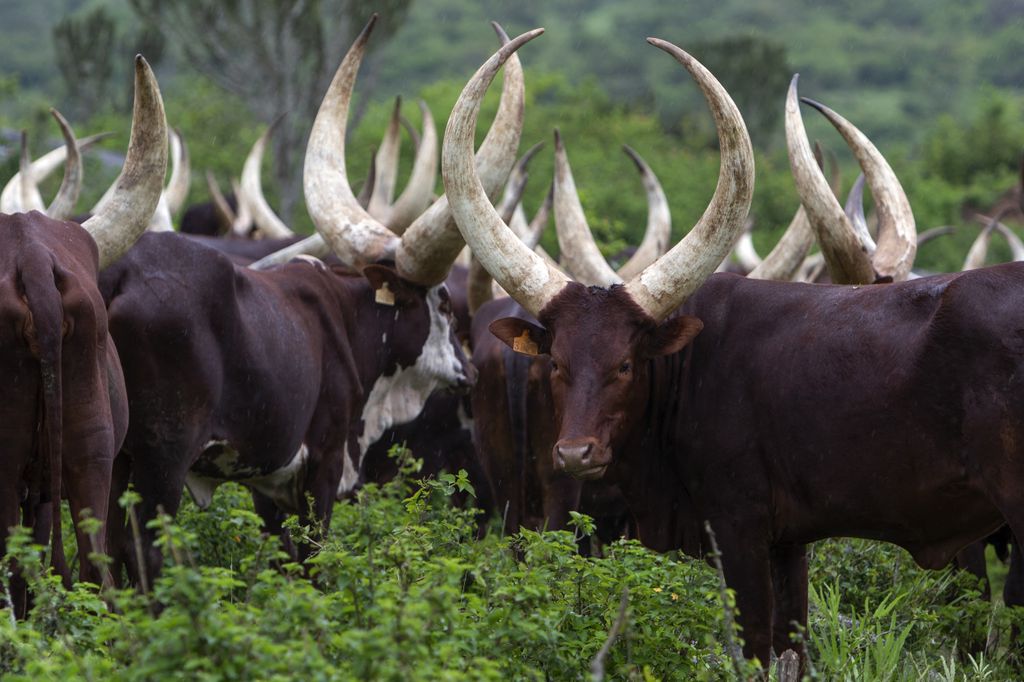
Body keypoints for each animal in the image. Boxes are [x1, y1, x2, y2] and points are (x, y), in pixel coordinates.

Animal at [445, 32, 1024, 668]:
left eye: (626, 363)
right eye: (555, 363)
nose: (575, 453)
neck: (691, 365)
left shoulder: (738, 529)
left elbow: (754, 647)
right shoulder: (789, 542)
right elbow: (791, 644)